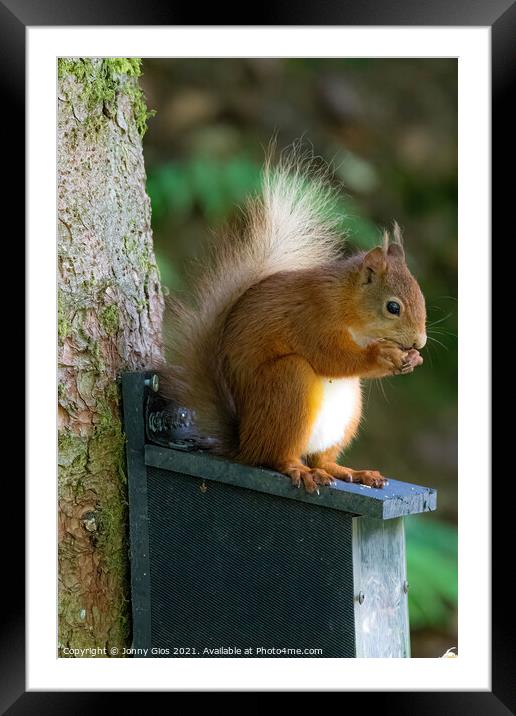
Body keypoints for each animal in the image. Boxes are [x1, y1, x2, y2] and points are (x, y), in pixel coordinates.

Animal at [160, 155, 424, 496]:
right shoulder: (311, 319)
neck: (349, 305)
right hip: (288, 382)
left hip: (348, 411)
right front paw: (383, 356)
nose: (420, 341)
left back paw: (350, 471)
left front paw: (412, 359)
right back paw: (299, 469)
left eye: (421, 296)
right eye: (393, 307)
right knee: (277, 457)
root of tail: (245, 443)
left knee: (322, 459)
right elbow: (332, 357)